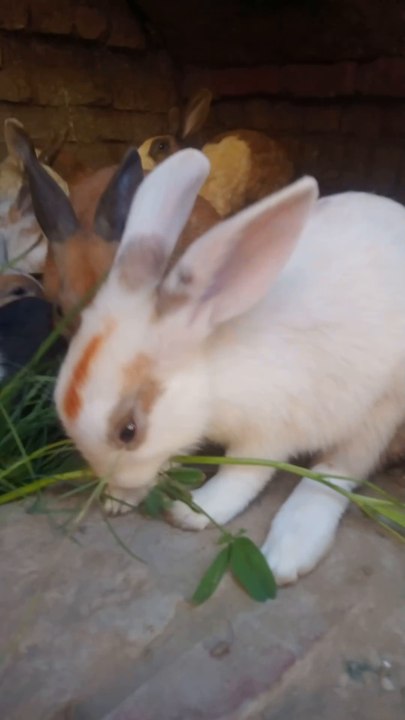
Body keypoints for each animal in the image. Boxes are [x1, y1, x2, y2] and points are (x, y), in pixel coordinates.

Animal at [53, 147, 405, 586]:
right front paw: (123, 499)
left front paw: (193, 510)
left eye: (128, 431)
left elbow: (243, 474)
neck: (213, 369)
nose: (114, 485)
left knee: (337, 472)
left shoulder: (270, 431)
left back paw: (287, 551)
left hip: (380, 410)